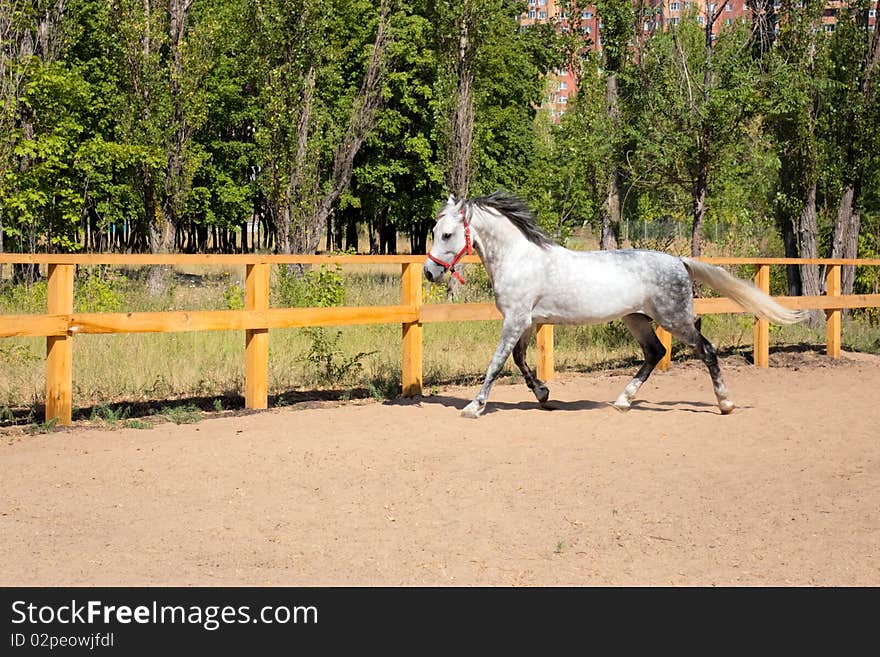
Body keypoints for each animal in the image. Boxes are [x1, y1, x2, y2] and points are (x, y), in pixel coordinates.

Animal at [422, 190, 808, 418]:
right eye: (435, 231)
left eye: (447, 234)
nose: (428, 272)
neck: (519, 259)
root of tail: (680, 261)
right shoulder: (528, 321)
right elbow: (519, 359)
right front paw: (544, 394)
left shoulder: (515, 319)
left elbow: (497, 362)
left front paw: (474, 406)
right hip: (637, 319)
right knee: (654, 353)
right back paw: (623, 400)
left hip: (675, 320)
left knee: (706, 350)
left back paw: (725, 404)